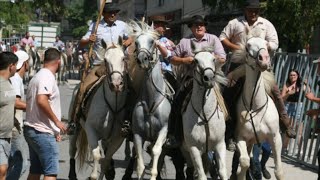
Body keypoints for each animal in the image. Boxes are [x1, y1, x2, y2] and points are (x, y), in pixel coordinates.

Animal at [181, 43, 229, 179]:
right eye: (195, 61)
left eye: (213, 59)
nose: (209, 78)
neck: (205, 115)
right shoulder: (193, 148)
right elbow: (201, 175)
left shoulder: (220, 144)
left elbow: (222, 172)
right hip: (185, 150)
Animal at [231, 28, 284, 179]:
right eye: (247, 45)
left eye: (266, 44)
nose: (264, 59)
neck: (255, 107)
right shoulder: (240, 138)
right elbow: (244, 162)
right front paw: (242, 174)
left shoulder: (275, 138)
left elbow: (279, 170)